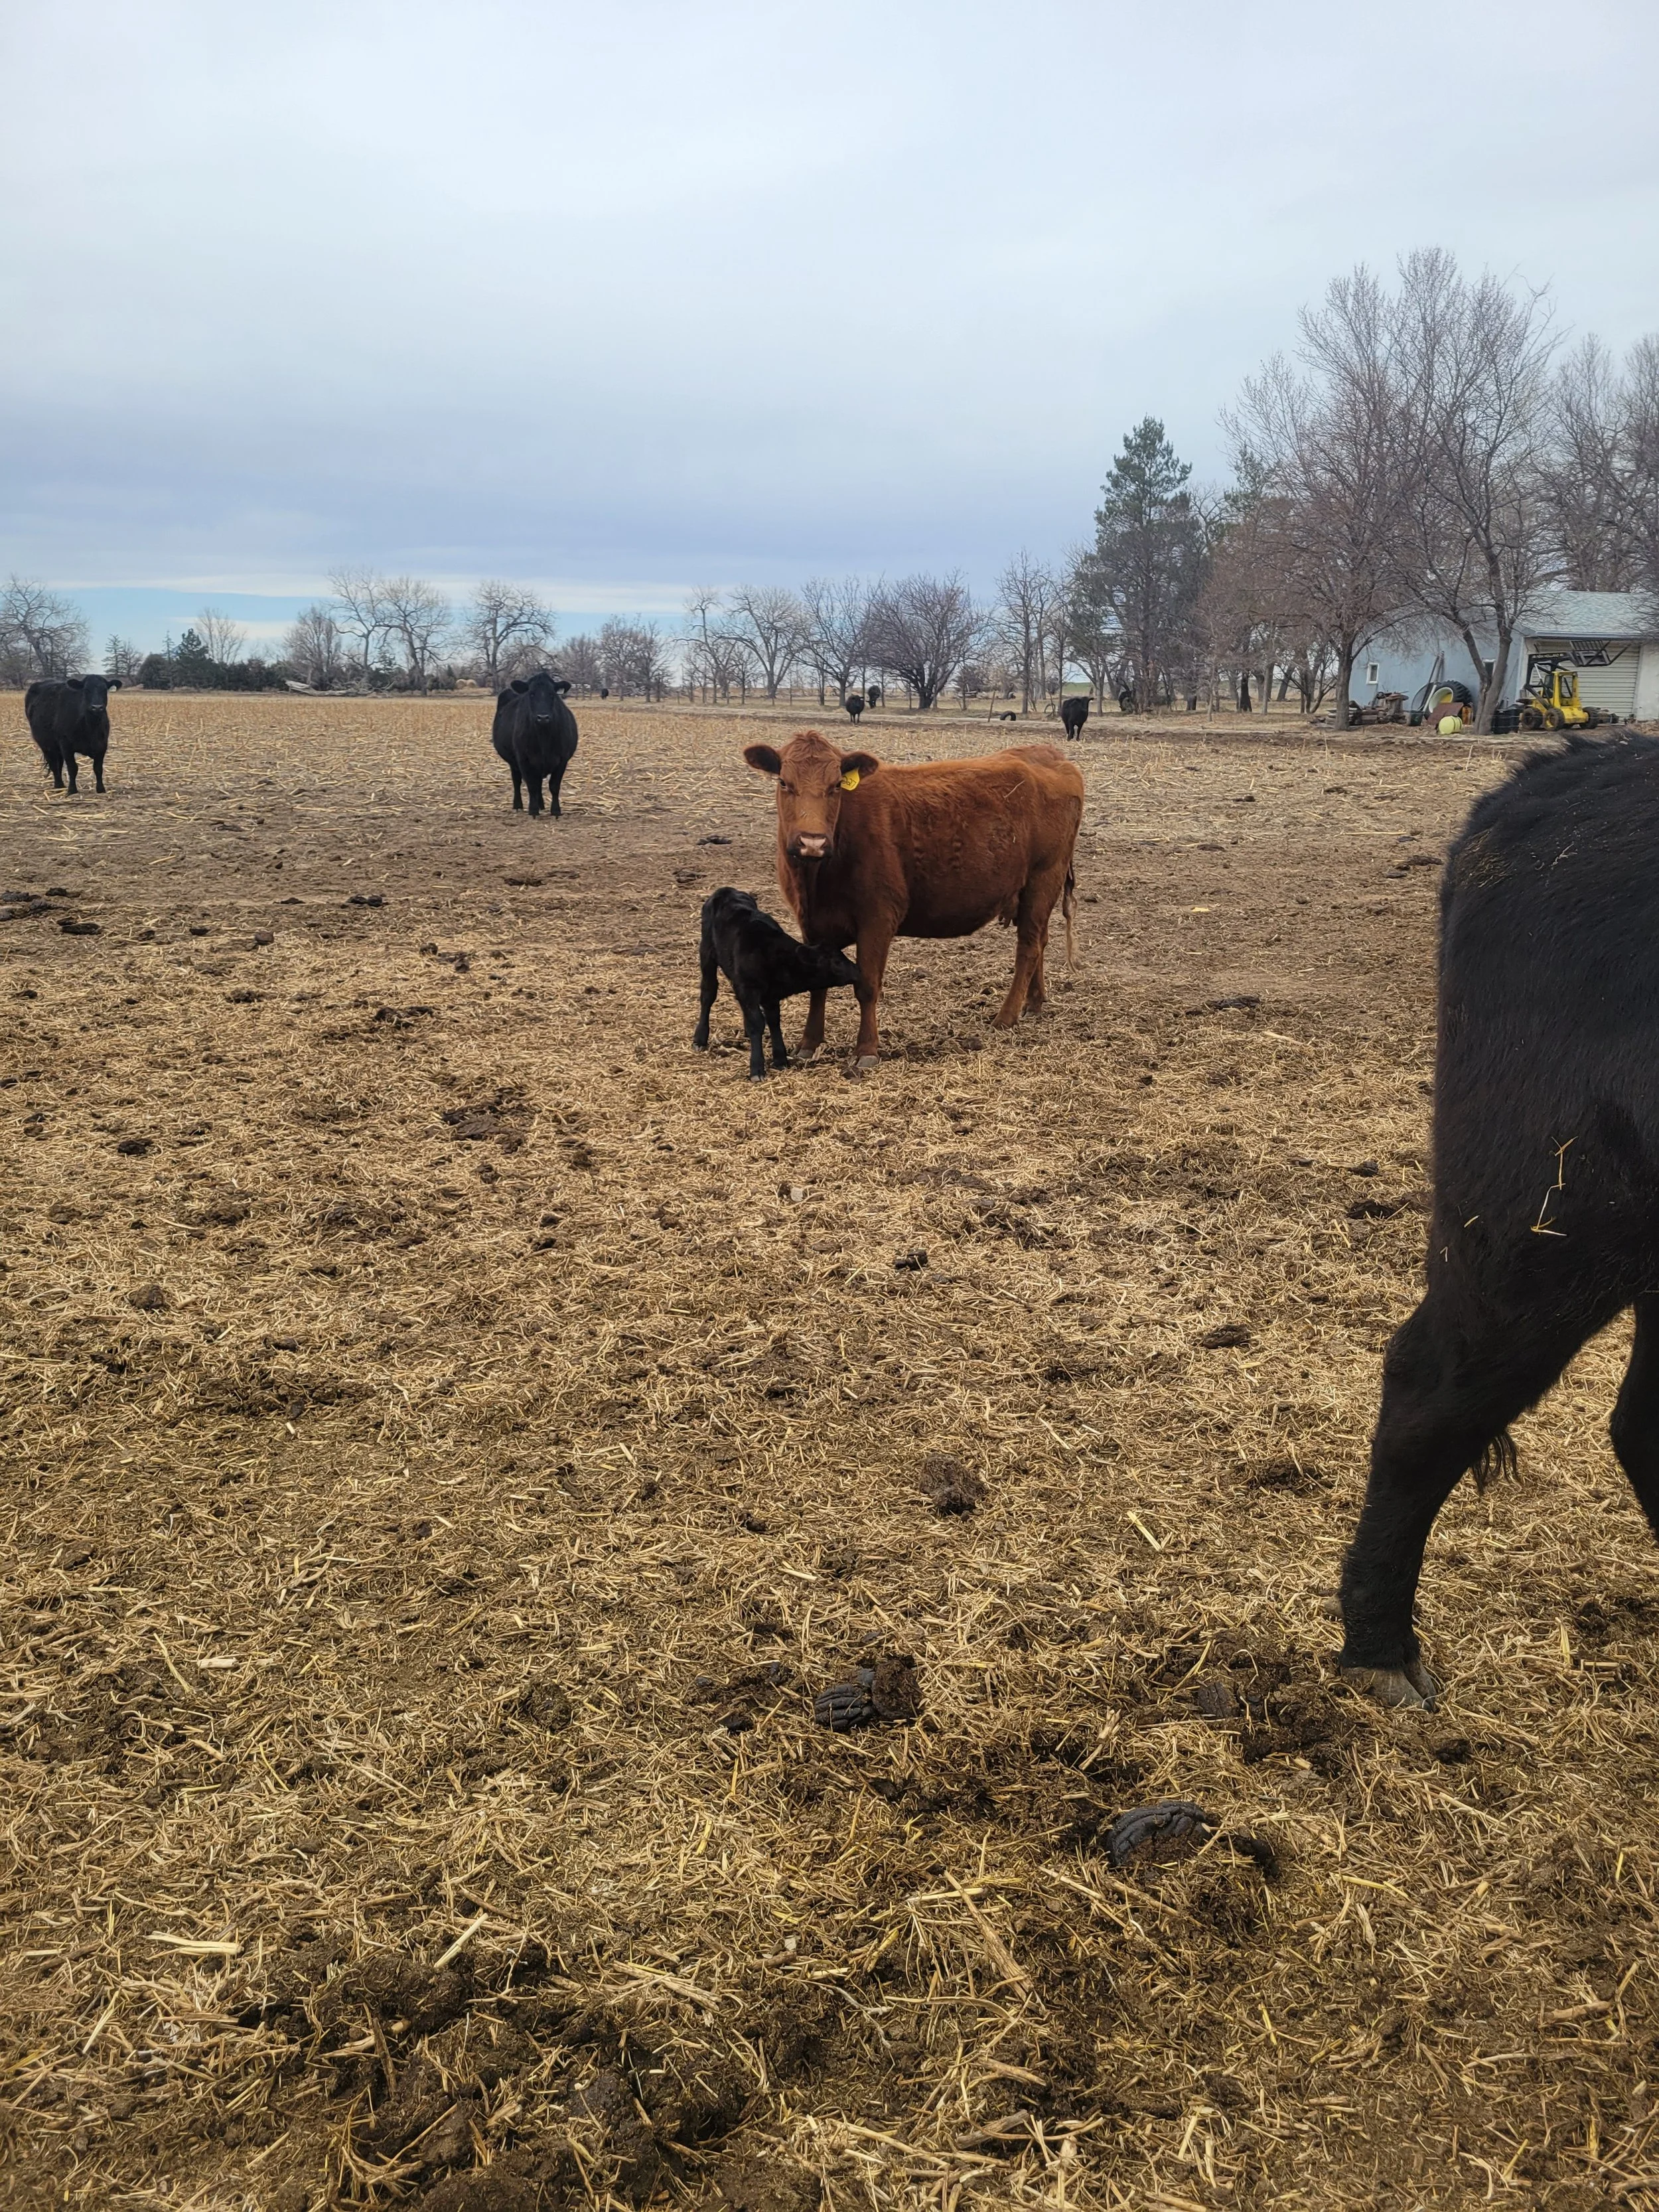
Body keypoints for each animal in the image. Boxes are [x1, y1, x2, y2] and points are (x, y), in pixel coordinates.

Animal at [25, 675, 121, 793]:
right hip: (46, 744)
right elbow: (73, 768)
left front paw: (101, 790)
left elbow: (98, 768)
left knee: (59, 764)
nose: (97, 707)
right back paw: (59, 785)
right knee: (54, 764)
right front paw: (72, 790)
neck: (90, 728)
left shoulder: (102, 745)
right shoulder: (66, 745)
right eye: (86, 690)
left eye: (104, 690)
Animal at [491, 672, 578, 817]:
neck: (544, 739)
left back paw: (541, 805)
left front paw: (556, 811)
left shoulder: (562, 760)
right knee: (517, 782)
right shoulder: (524, 760)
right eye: (531, 694)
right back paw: (519, 806)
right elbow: (531, 786)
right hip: (514, 763)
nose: (543, 717)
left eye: (552, 694)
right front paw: (533, 810)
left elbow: (554, 786)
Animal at [693, 887, 862, 1080]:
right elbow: (758, 1022)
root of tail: (726, 890)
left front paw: (780, 1059)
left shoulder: (769, 995)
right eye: (836, 962)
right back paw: (700, 1038)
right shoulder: (749, 988)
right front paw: (757, 1068)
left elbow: (773, 1021)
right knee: (708, 993)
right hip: (707, 954)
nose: (858, 971)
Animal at [743, 729, 1083, 1068]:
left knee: (1028, 946)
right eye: (784, 782)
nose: (812, 842)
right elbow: (817, 985)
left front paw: (866, 1050)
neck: (816, 879)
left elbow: (867, 985)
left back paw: (1006, 1016)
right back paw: (1034, 1002)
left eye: (836, 785)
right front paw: (808, 1044)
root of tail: (1053, 756)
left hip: (1044, 877)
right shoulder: (812, 924)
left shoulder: (878, 918)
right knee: (1040, 940)